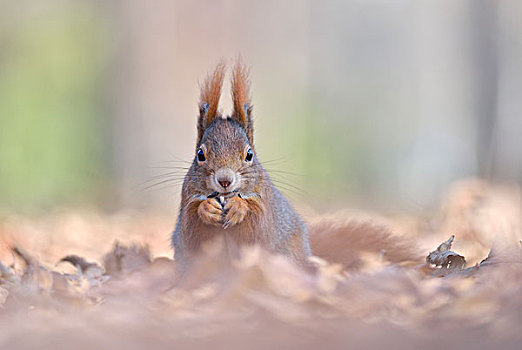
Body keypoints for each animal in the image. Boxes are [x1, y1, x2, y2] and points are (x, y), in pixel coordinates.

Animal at [171, 59, 310, 268]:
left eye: (249, 154)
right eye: (200, 154)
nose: (225, 180)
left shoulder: (264, 201)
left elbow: (260, 227)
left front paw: (239, 207)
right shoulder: (187, 198)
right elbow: (191, 232)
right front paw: (207, 208)